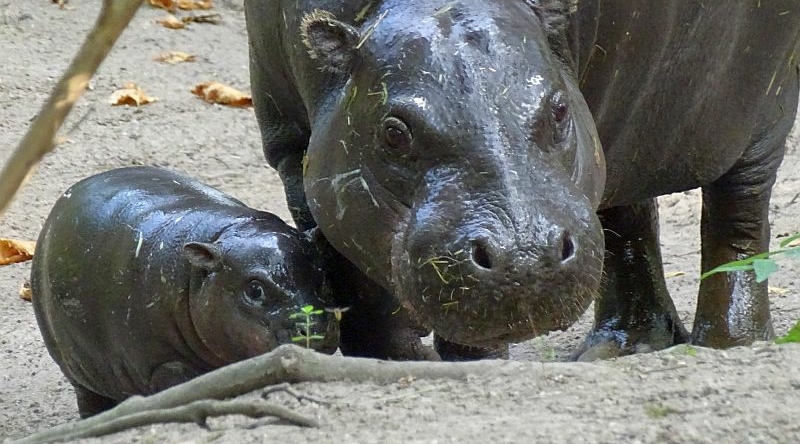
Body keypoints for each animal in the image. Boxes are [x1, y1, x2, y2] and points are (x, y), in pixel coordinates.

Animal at [30, 166, 338, 416]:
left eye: (322, 275)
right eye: (255, 290)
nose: (315, 325)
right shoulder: (163, 365)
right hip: (78, 373)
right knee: (89, 399)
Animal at [244, 0, 800, 360]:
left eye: (558, 108)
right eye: (394, 132)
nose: (525, 258)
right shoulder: (292, 149)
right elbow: (344, 266)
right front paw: (389, 355)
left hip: (763, 114)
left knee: (738, 219)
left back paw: (729, 343)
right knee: (627, 219)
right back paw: (621, 346)